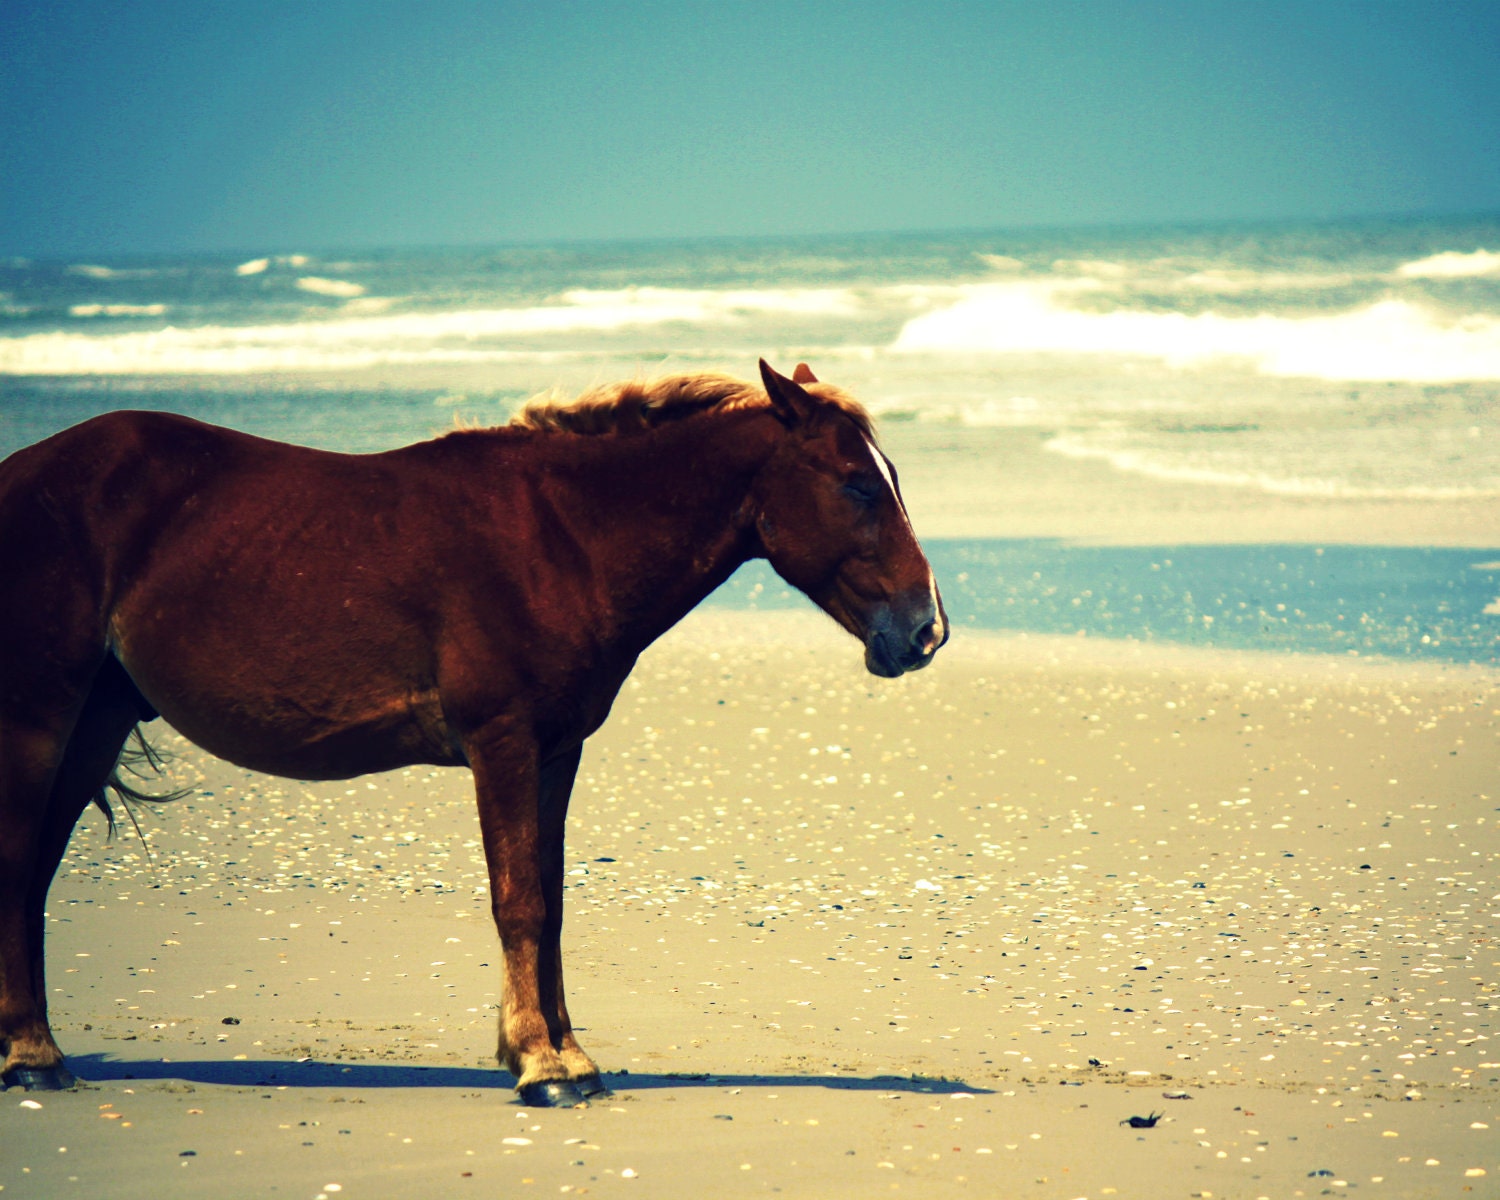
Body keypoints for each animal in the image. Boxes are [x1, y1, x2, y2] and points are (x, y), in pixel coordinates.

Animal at [0, 360, 947, 1106]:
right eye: (858, 484)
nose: (926, 630)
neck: (561, 539)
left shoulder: (555, 753)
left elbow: (551, 901)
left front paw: (567, 1053)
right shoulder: (503, 744)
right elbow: (518, 901)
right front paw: (540, 1064)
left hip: (95, 719)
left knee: (37, 868)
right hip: (41, 715)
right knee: (18, 864)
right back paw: (32, 1055)